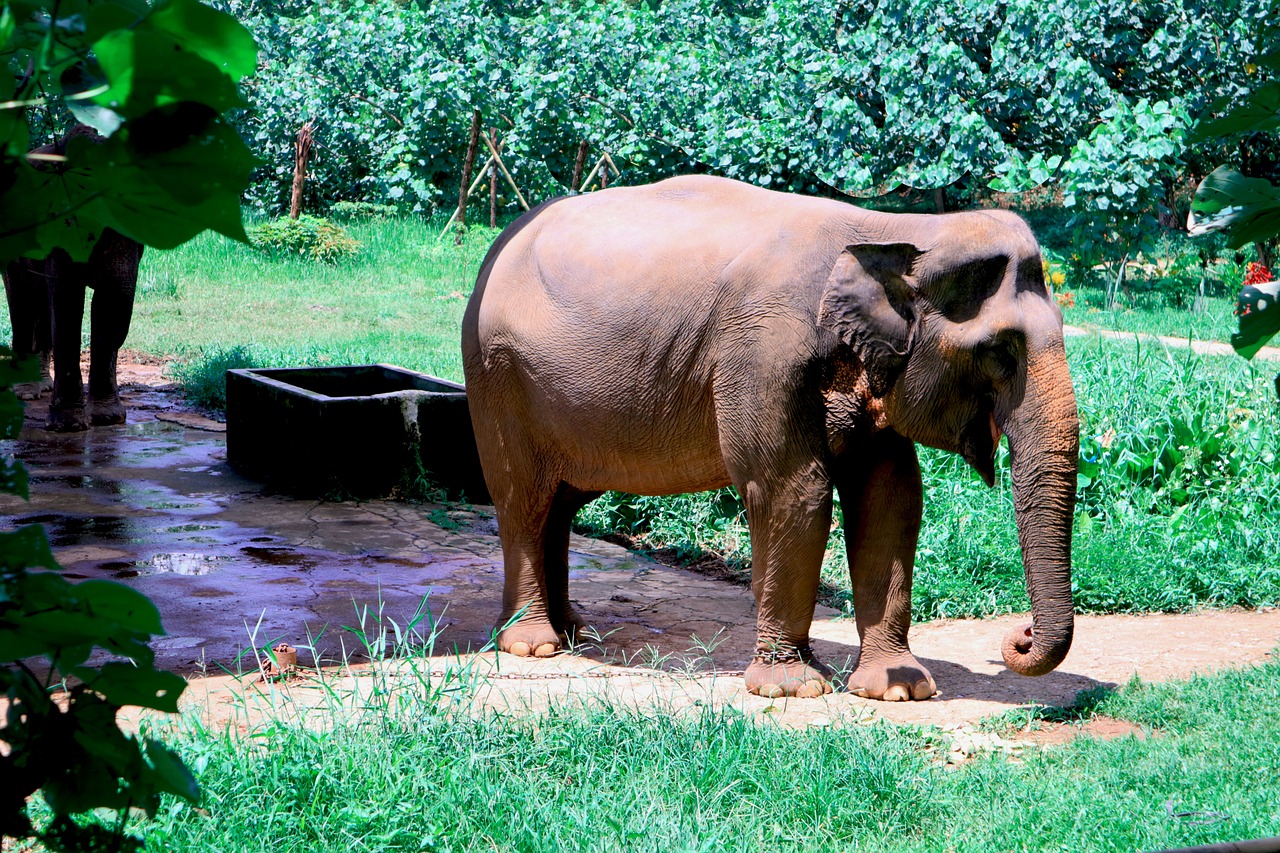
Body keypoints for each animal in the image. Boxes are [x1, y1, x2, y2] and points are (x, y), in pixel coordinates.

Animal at [1, 124, 144, 432]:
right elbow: (67, 300)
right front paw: (67, 427)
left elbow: (107, 303)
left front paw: (107, 419)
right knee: (23, 300)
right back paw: (25, 392)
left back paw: (42, 385)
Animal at [460, 172, 1080, 696]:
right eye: (999, 352)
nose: (1019, 637)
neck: (895, 227)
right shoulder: (761, 352)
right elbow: (794, 490)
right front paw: (793, 688)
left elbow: (891, 497)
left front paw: (898, 688)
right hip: (497, 375)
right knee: (523, 499)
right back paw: (534, 644)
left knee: (562, 502)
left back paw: (573, 631)